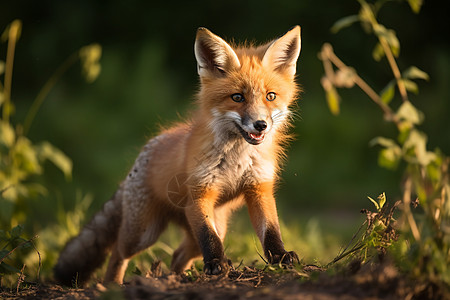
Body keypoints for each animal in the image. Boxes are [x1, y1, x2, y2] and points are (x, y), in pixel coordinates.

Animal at [53, 25, 302, 286]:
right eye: (237, 97)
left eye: (270, 96)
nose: (260, 125)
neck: (237, 158)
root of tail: (143, 154)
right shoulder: (199, 196)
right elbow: (209, 238)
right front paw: (216, 263)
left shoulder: (258, 189)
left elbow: (271, 231)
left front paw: (281, 257)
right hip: (143, 233)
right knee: (119, 251)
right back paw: (113, 284)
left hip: (206, 228)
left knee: (178, 254)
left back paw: (177, 278)